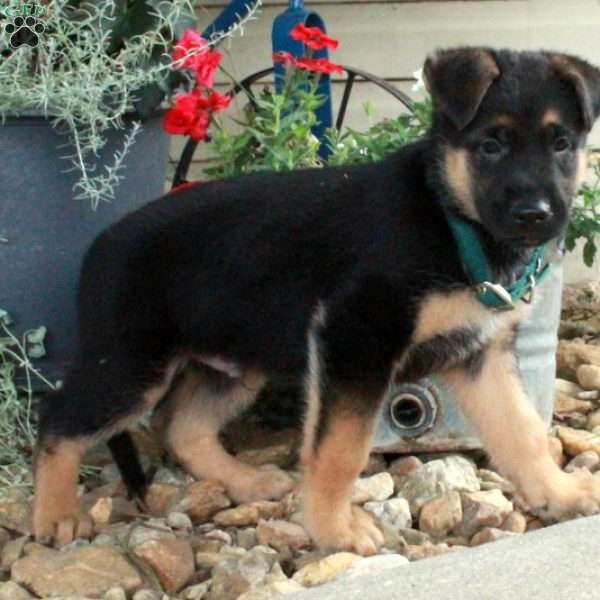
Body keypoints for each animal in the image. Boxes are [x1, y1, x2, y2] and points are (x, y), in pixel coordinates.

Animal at [31, 47, 600, 552]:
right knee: (58, 418)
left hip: (231, 365)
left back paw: (248, 482)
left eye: (561, 144)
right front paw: (336, 531)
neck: (448, 213)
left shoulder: (479, 354)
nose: (535, 215)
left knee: (182, 427)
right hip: (130, 366)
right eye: (490, 146)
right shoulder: (353, 339)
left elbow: (522, 431)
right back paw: (54, 515)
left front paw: (560, 493)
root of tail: (98, 247)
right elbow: (341, 449)